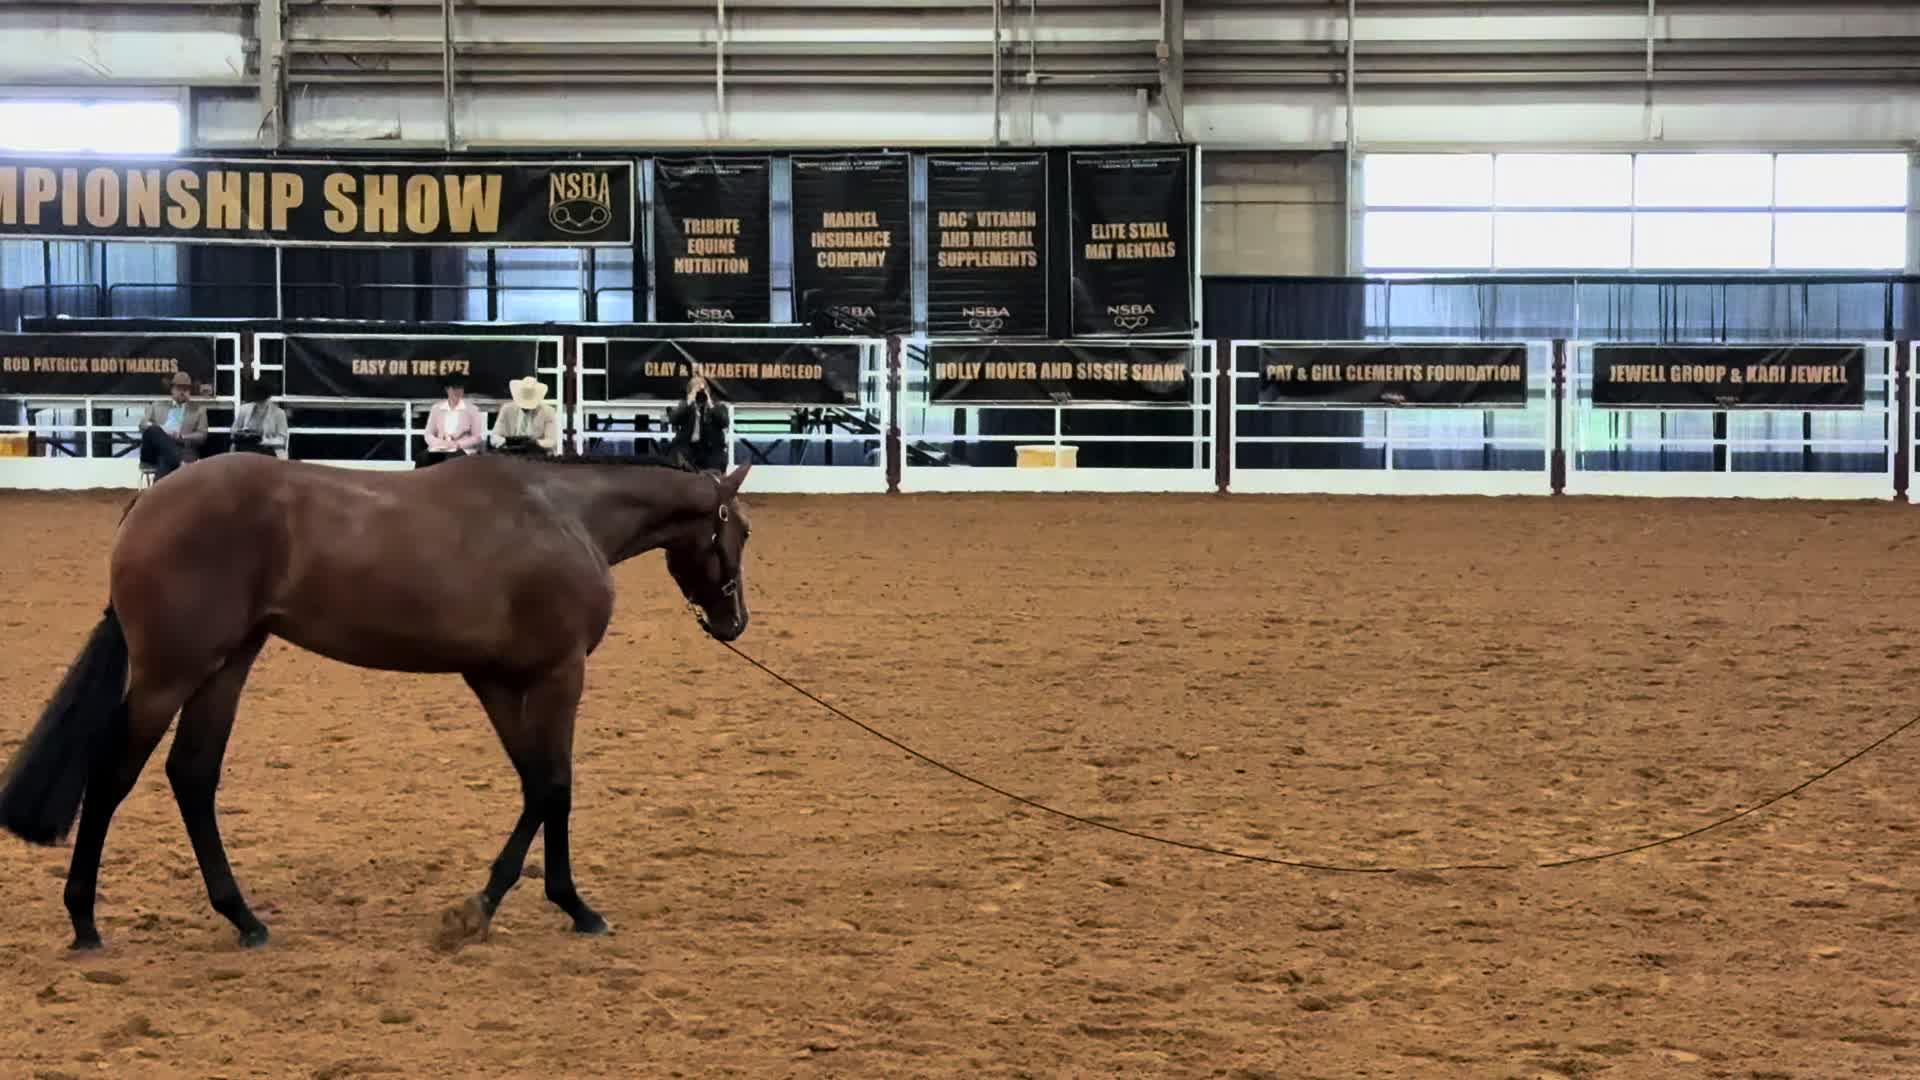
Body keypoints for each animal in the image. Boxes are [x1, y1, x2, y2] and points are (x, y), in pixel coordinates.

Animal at [0, 449, 753, 951]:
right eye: (739, 531)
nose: (733, 621)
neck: (563, 515)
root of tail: (149, 503)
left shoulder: (497, 679)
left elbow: (537, 786)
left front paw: (512, 904)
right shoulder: (556, 674)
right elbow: (557, 788)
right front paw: (546, 907)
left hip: (225, 665)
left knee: (192, 775)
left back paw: (244, 919)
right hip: (169, 673)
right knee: (112, 776)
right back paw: (85, 920)